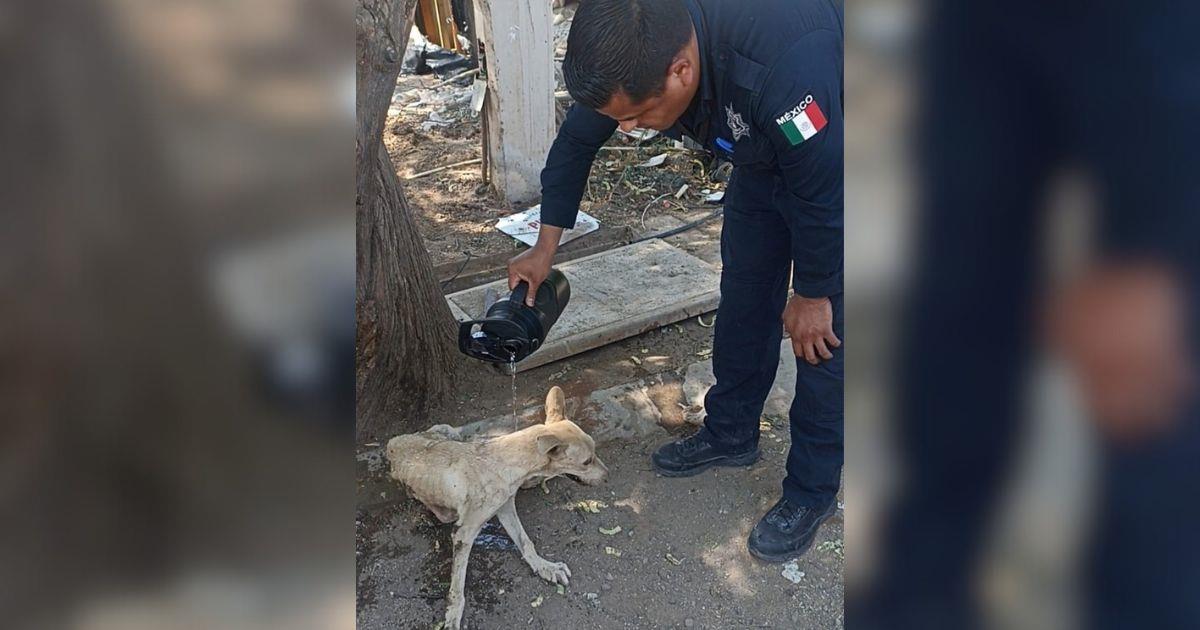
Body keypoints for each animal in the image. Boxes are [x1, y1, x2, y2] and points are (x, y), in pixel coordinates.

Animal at [386, 384, 609, 628]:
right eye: (586, 461)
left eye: (596, 450)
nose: (608, 476)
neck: (502, 461)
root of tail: (392, 442)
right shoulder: (463, 535)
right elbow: (457, 587)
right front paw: (453, 615)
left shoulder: (506, 508)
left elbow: (526, 542)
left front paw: (545, 567)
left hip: (447, 430)